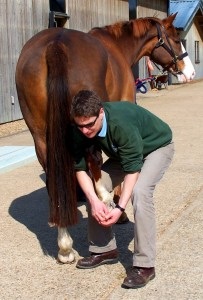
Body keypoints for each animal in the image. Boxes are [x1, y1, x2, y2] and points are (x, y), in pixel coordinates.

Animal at [15, 14, 195, 262]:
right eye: (176, 40)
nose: (191, 73)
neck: (117, 46)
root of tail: (55, 44)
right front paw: (119, 210)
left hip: (41, 135)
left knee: (54, 176)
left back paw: (64, 245)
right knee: (94, 161)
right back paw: (103, 199)